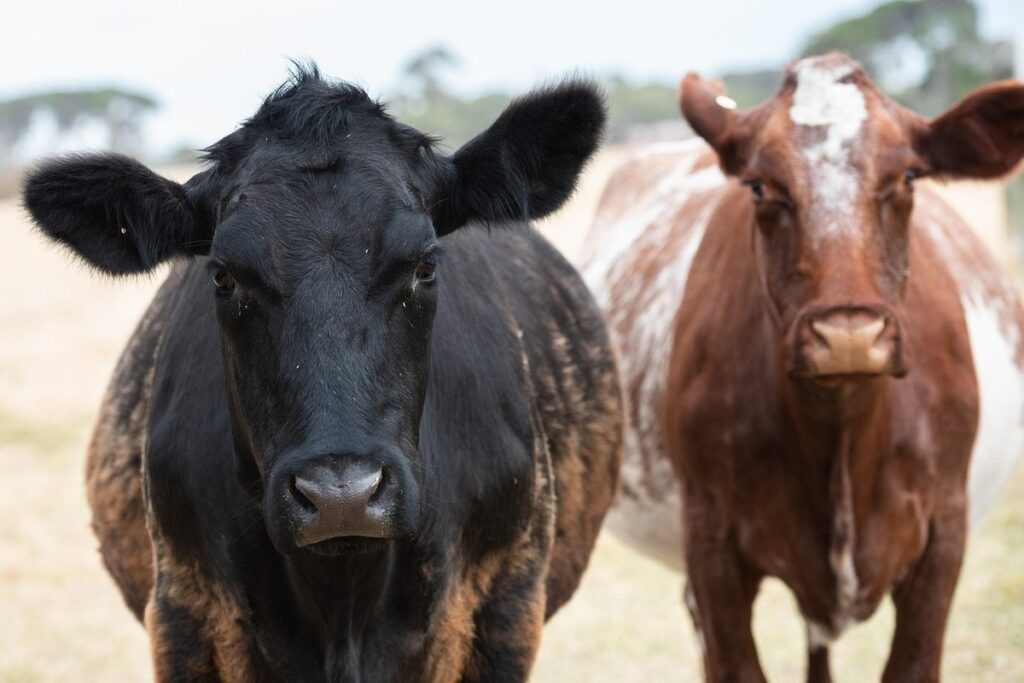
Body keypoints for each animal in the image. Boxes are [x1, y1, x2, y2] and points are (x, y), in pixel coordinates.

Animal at [24, 66, 622, 682]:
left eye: (425, 264)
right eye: (222, 276)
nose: (342, 496)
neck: (344, 600)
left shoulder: (505, 604)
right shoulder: (184, 612)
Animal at [580, 53, 1024, 682]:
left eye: (910, 177)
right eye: (759, 186)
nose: (847, 337)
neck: (842, 436)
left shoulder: (944, 535)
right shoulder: (711, 544)